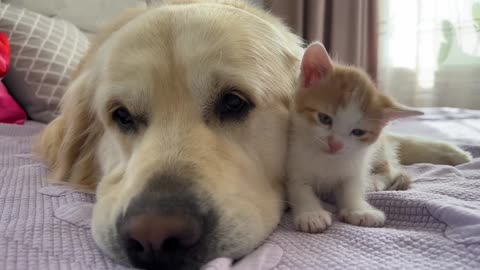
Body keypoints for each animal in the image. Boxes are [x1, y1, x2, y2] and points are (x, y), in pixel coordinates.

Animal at [286, 42, 422, 232]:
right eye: (324, 118)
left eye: (358, 132)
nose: (335, 144)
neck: (327, 159)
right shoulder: (293, 164)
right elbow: (300, 189)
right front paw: (311, 214)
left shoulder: (356, 165)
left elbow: (352, 187)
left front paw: (360, 209)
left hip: (379, 149)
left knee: (390, 169)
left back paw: (373, 181)